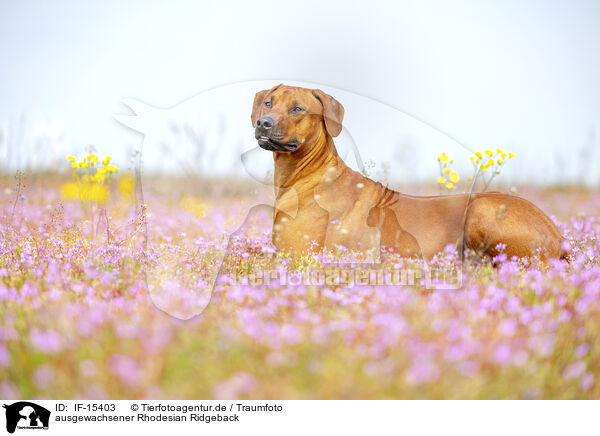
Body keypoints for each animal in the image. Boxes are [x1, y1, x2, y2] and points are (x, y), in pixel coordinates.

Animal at [250, 85, 568, 262]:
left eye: (297, 108)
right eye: (268, 103)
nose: (264, 123)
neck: (308, 176)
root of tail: (559, 237)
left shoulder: (297, 255)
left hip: (482, 209)